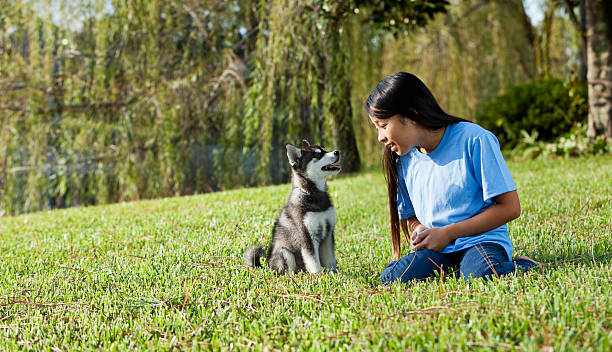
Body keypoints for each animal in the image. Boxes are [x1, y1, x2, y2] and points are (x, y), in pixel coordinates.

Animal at [243, 140, 340, 276]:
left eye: (324, 149)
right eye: (317, 155)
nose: (337, 152)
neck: (312, 193)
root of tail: (267, 266)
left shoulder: (328, 233)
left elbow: (330, 259)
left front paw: (333, 274)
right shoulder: (307, 236)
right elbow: (313, 261)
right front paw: (318, 276)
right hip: (284, 252)